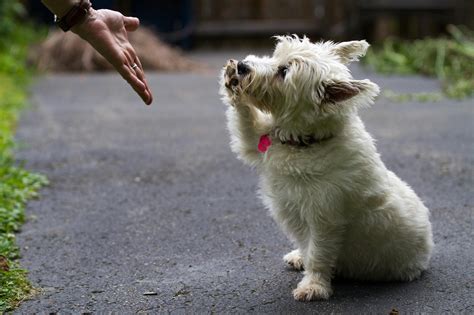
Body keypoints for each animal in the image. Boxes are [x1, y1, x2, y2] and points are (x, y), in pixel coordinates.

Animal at [218, 35, 434, 302]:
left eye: (284, 71)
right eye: (276, 54)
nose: (242, 66)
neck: (306, 142)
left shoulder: (325, 218)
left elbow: (318, 255)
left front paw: (313, 286)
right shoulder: (255, 144)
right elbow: (245, 122)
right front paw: (230, 81)